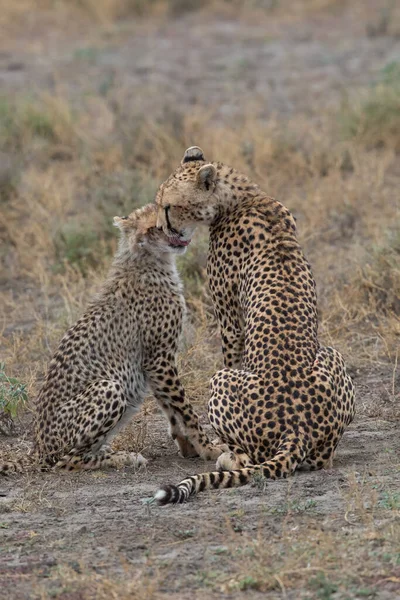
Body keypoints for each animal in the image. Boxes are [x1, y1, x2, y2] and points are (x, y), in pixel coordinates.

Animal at [1, 204, 220, 476]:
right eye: (155, 226)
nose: (179, 233)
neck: (147, 259)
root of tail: (37, 449)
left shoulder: (153, 364)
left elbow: (171, 408)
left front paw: (189, 447)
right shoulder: (159, 358)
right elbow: (185, 409)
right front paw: (209, 448)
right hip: (109, 387)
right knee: (67, 461)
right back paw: (122, 457)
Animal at [153, 148, 356, 504]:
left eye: (169, 206)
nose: (161, 228)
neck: (243, 197)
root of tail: (297, 428)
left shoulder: (230, 321)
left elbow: (232, 352)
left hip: (220, 381)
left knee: (251, 458)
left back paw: (227, 456)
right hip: (333, 355)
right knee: (322, 459)